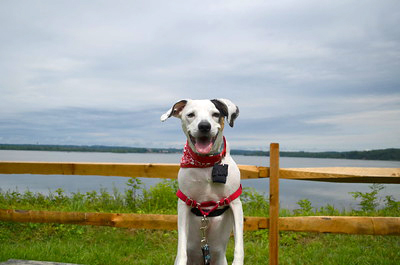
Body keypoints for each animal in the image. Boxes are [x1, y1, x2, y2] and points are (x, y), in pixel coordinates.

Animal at [160, 98, 244, 264]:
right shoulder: (184, 204)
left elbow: (239, 245)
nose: (204, 126)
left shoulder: (235, 204)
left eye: (216, 114)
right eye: (191, 114)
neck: (206, 165)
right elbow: (181, 248)